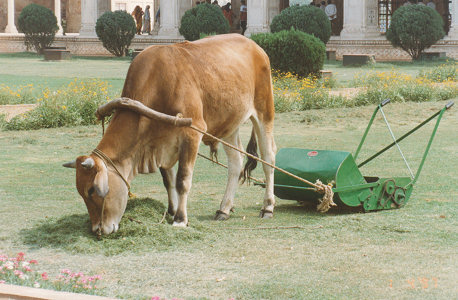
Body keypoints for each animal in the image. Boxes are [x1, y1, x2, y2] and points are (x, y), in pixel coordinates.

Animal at [61, 33, 276, 234]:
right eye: (82, 192)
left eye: (92, 190)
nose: (98, 230)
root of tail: (255, 46)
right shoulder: (161, 143)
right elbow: (168, 180)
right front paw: (172, 211)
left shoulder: (191, 134)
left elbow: (182, 180)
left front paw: (180, 219)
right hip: (229, 124)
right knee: (236, 162)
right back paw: (224, 208)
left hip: (264, 113)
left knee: (268, 159)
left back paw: (267, 207)